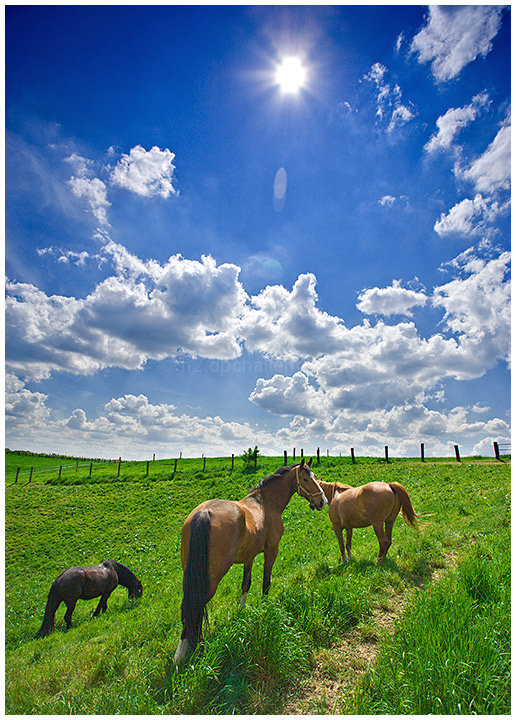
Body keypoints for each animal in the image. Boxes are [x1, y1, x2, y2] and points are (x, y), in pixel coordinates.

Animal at [173, 459, 327, 665]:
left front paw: (242, 612)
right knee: (195, 605)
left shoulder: (249, 556)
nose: (322, 501)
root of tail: (204, 513)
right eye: (305, 479)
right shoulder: (271, 550)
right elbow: (266, 582)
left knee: (188, 606)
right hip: (211, 578)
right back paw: (185, 652)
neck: (266, 503)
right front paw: (266, 608)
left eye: (315, 477)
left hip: (191, 574)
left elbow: (246, 584)